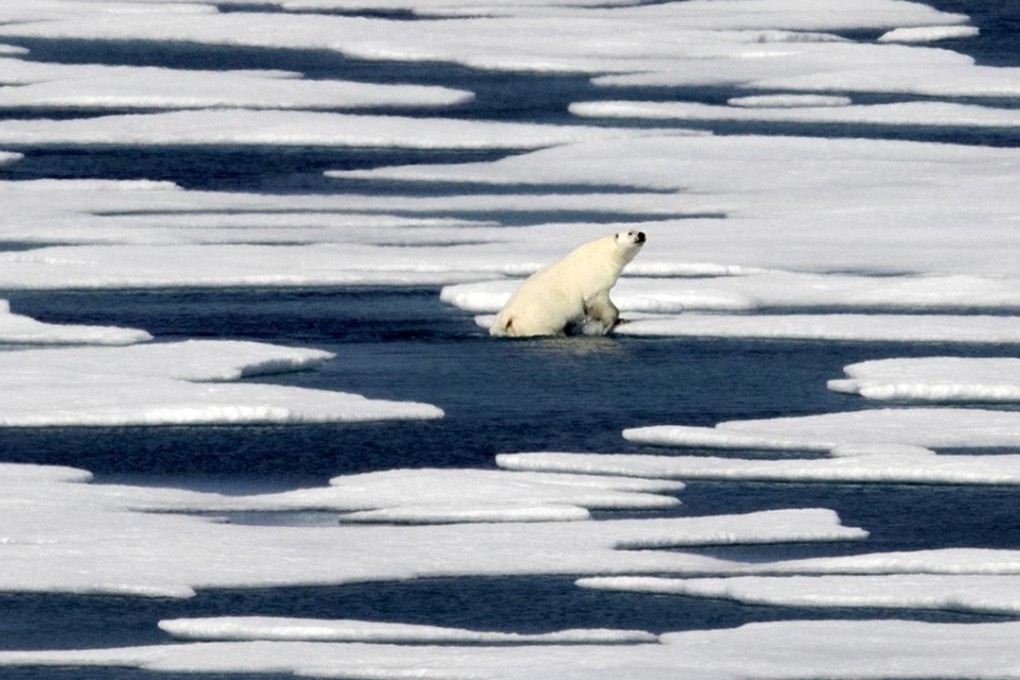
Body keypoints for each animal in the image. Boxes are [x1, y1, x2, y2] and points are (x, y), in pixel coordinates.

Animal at [489, 229, 646, 338]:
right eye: (630, 232)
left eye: (637, 229)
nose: (641, 234)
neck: (604, 254)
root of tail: (506, 314)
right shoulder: (593, 282)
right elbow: (600, 304)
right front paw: (611, 322)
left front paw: (621, 320)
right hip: (537, 318)